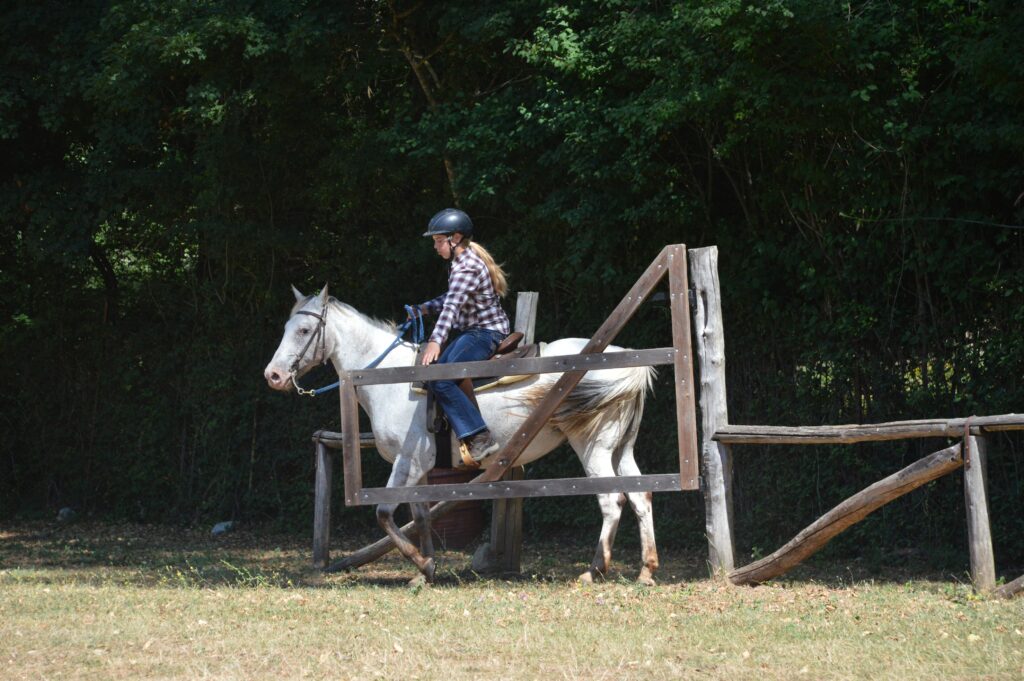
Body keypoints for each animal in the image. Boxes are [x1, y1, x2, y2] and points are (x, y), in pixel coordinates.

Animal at [263, 285, 659, 585]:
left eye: (303, 331)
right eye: (284, 327)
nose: (273, 376)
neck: (390, 377)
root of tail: (623, 357)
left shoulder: (407, 462)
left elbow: (384, 513)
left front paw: (422, 564)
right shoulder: (420, 469)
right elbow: (421, 517)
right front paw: (426, 570)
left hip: (592, 446)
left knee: (612, 500)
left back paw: (594, 571)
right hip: (621, 448)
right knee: (640, 496)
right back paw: (646, 570)